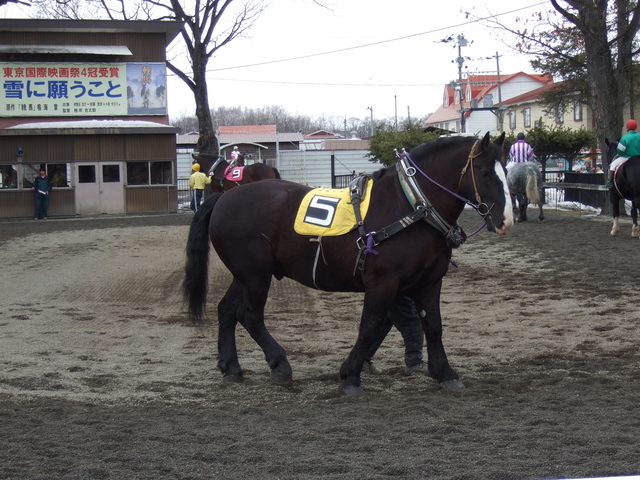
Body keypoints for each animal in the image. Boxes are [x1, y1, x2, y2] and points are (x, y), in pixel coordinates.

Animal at [183, 132, 514, 395]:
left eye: (506, 170)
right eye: (485, 172)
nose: (505, 220)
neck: (411, 206)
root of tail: (224, 199)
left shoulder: (430, 282)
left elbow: (433, 326)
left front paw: (444, 372)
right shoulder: (383, 283)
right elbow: (369, 327)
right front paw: (351, 374)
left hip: (244, 275)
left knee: (227, 311)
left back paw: (231, 367)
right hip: (255, 275)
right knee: (250, 316)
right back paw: (279, 364)